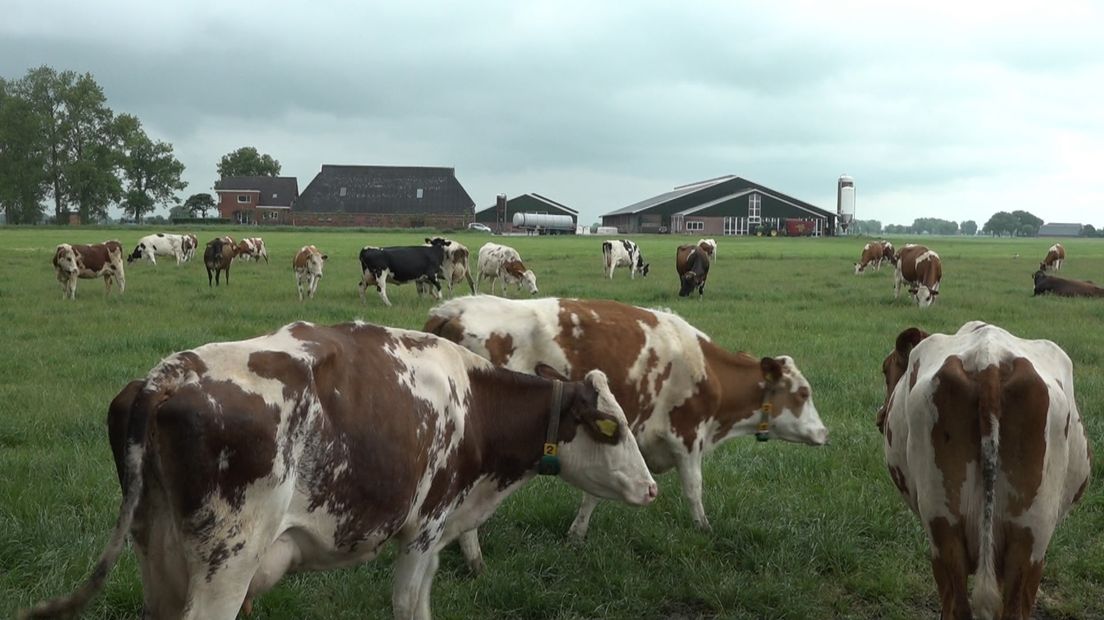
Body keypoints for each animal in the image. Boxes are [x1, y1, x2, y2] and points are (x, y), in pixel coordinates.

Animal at [21, 317, 653, 617]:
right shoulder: (425, 528)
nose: (651, 489)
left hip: (157, 553)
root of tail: (166, 375)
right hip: (227, 564)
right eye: (613, 427)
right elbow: (409, 606)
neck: (474, 400)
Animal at [421, 293, 830, 569]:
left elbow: (595, 493)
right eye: (803, 393)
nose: (825, 433)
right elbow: (694, 489)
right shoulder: (687, 436)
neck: (706, 369)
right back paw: (475, 559)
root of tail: (450, 309)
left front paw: (576, 534)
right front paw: (704, 529)